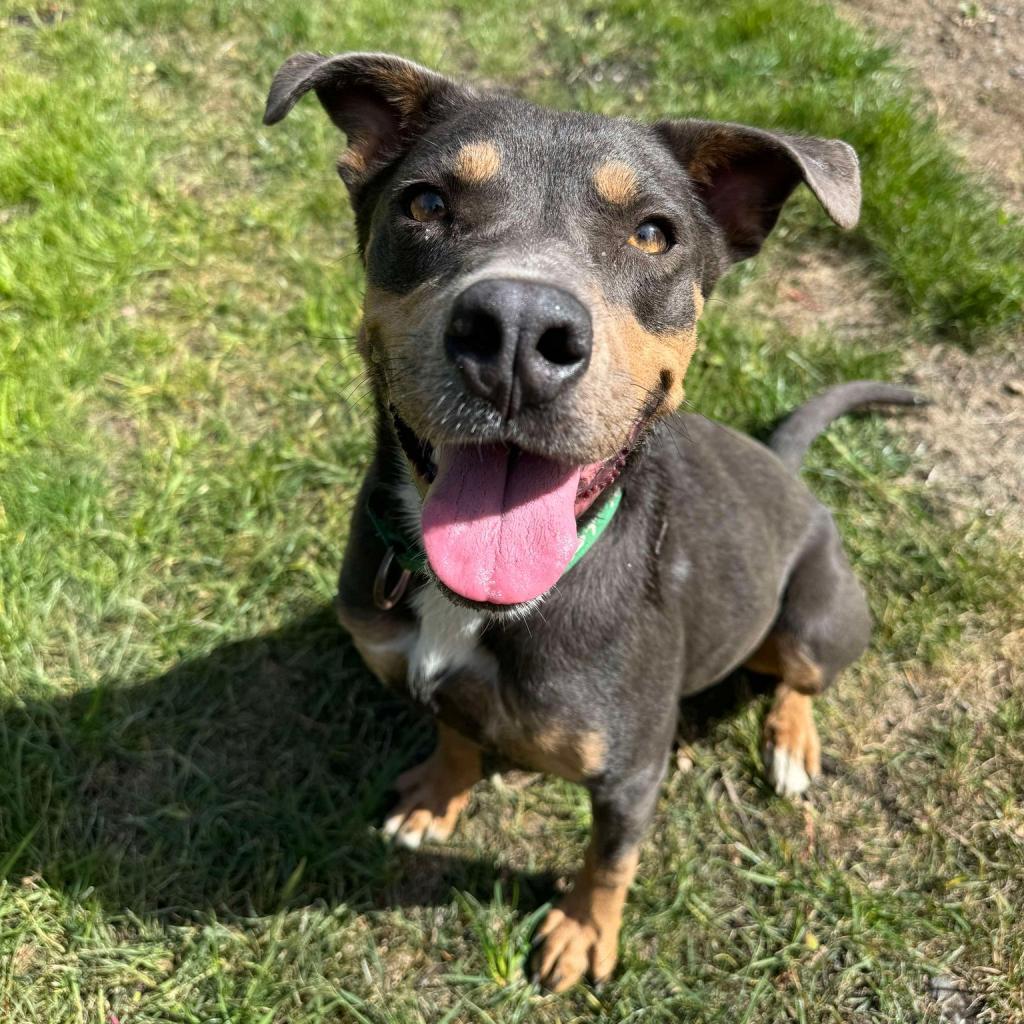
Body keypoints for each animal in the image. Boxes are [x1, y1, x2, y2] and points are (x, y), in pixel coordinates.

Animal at [264, 49, 921, 991]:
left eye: (653, 233)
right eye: (425, 204)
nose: (516, 329)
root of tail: (787, 469)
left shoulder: (631, 773)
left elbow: (610, 860)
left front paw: (581, 933)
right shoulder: (437, 689)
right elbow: (455, 734)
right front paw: (435, 799)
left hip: (813, 618)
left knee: (799, 678)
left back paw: (792, 743)